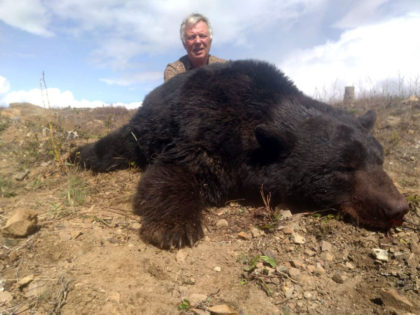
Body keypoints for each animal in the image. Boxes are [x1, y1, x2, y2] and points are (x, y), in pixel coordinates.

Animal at [70, 60, 408, 251]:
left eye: (379, 160)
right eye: (344, 167)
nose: (399, 208)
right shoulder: (202, 126)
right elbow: (172, 170)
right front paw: (174, 227)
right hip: (144, 127)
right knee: (120, 143)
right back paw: (79, 155)